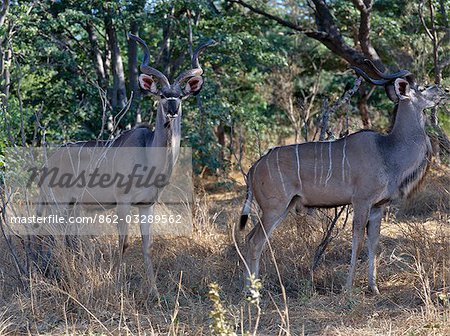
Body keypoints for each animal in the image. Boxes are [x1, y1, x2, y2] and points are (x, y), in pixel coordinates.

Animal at [36, 34, 215, 292]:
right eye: (162, 95)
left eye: (180, 96)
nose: (172, 109)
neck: (149, 156)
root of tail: (47, 163)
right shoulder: (123, 202)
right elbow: (124, 242)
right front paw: (118, 284)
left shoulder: (146, 205)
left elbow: (147, 244)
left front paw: (154, 290)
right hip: (59, 204)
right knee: (57, 238)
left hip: (72, 207)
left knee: (67, 238)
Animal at [241, 65, 448, 294]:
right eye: (421, 87)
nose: (444, 91)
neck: (386, 151)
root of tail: (253, 169)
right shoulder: (361, 201)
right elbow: (357, 241)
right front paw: (348, 288)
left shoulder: (378, 206)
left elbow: (373, 243)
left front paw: (374, 288)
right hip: (274, 208)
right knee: (255, 242)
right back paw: (252, 292)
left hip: (285, 207)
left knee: (250, 238)